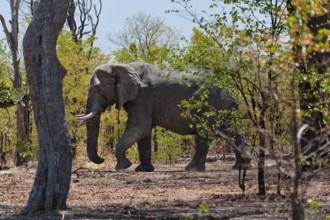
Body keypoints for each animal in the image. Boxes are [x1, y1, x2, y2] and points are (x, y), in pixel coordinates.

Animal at [77, 60, 251, 172]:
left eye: (99, 89)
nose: (101, 159)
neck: (121, 66)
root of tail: (229, 88)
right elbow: (144, 132)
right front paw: (143, 170)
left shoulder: (142, 96)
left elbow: (140, 127)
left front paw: (123, 167)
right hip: (225, 106)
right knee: (232, 131)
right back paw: (242, 167)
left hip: (210, 102)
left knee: (204, 132)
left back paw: (192, 169)